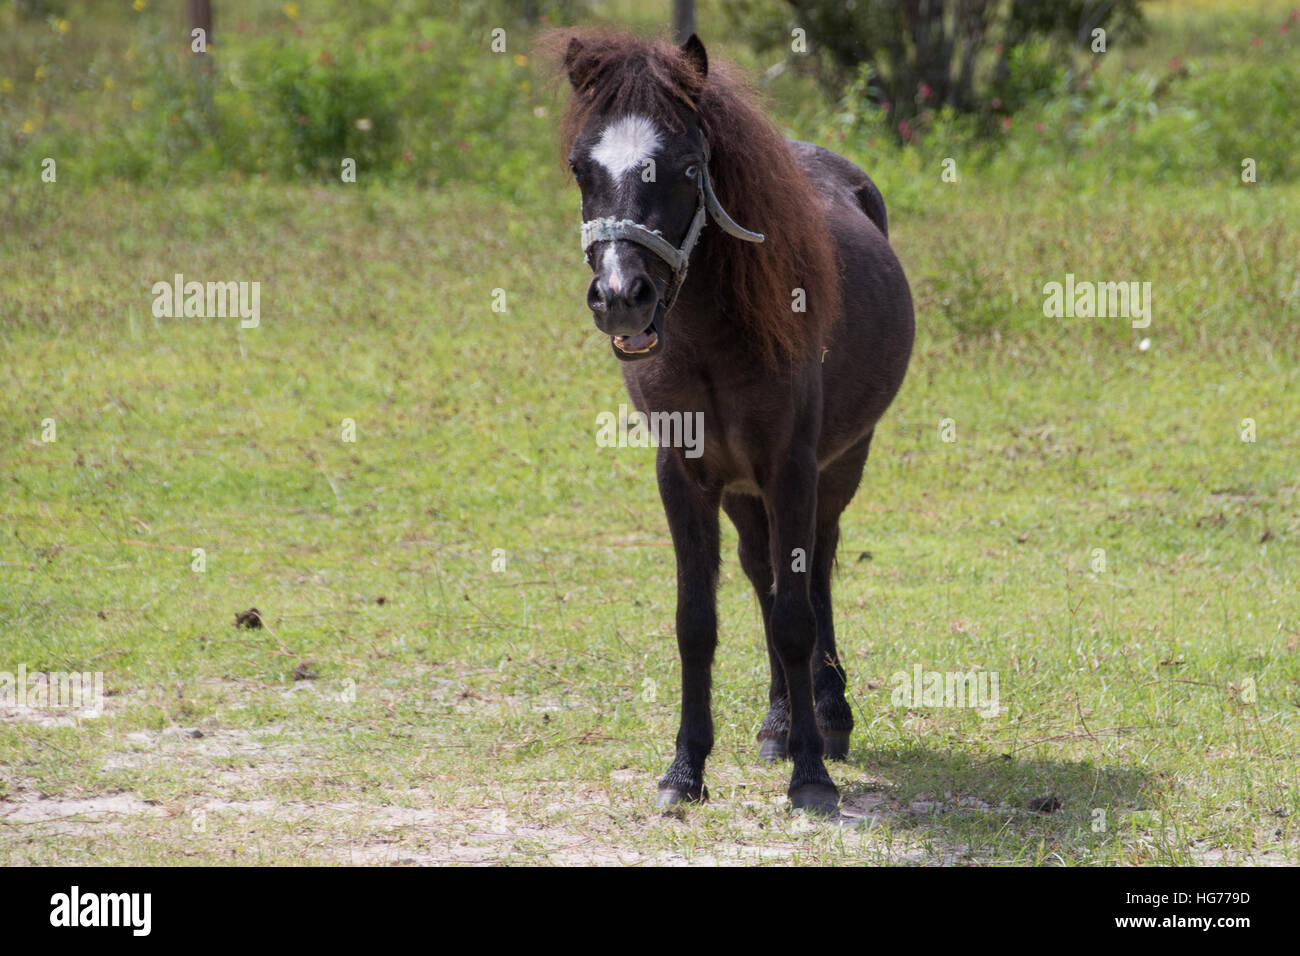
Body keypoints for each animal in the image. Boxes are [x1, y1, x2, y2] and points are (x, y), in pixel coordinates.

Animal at [548, 27, 915, 806]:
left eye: (688, 167)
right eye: (579, 166)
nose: (621, 296)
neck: (714, 341)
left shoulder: (791, 468)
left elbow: (797, 614)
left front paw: (812, 774)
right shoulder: (684, 475)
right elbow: (699, 621)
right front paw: (685, 769)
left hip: (842, 460)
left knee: (815, 567)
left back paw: (827, 717)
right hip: (745, 491)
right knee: (762, 572)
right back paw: (779, 721)